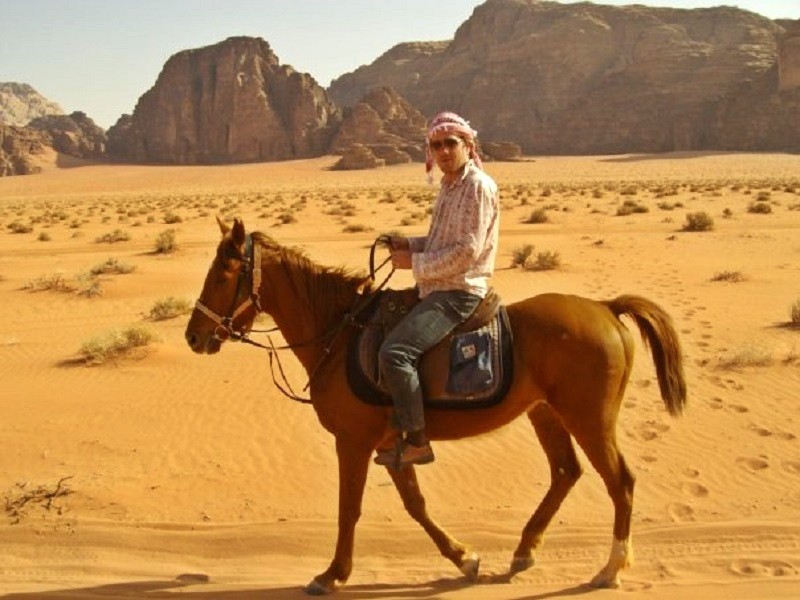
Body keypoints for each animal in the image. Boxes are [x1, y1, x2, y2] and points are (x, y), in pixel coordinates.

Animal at [184, 218, 684, 592]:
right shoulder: (392, 444)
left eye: (221, 276)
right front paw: (464, 559)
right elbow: (415, 504)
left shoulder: (354, 441)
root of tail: (606, 309)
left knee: (620, 481)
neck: (337, 333)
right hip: (545, 412)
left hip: (589, 418)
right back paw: (524, 551)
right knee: (566, 471)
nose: (193, 336)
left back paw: (610, 568)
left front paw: (332, 575)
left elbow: (350, 507)